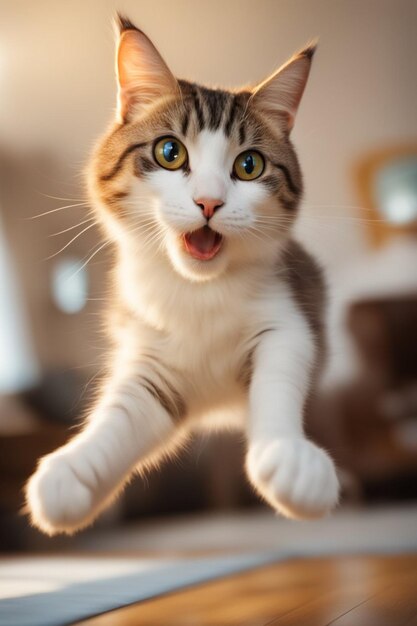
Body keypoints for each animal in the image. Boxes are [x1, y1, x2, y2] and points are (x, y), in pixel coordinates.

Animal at [25, 13, 338, 532]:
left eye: (248, 165)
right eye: (170, 152)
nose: (208, 203)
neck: (198, 291)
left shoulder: (285, 314)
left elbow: (280, 370)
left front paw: (291, 458)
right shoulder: (148, 353)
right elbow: (121, 412)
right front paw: (72, 470)